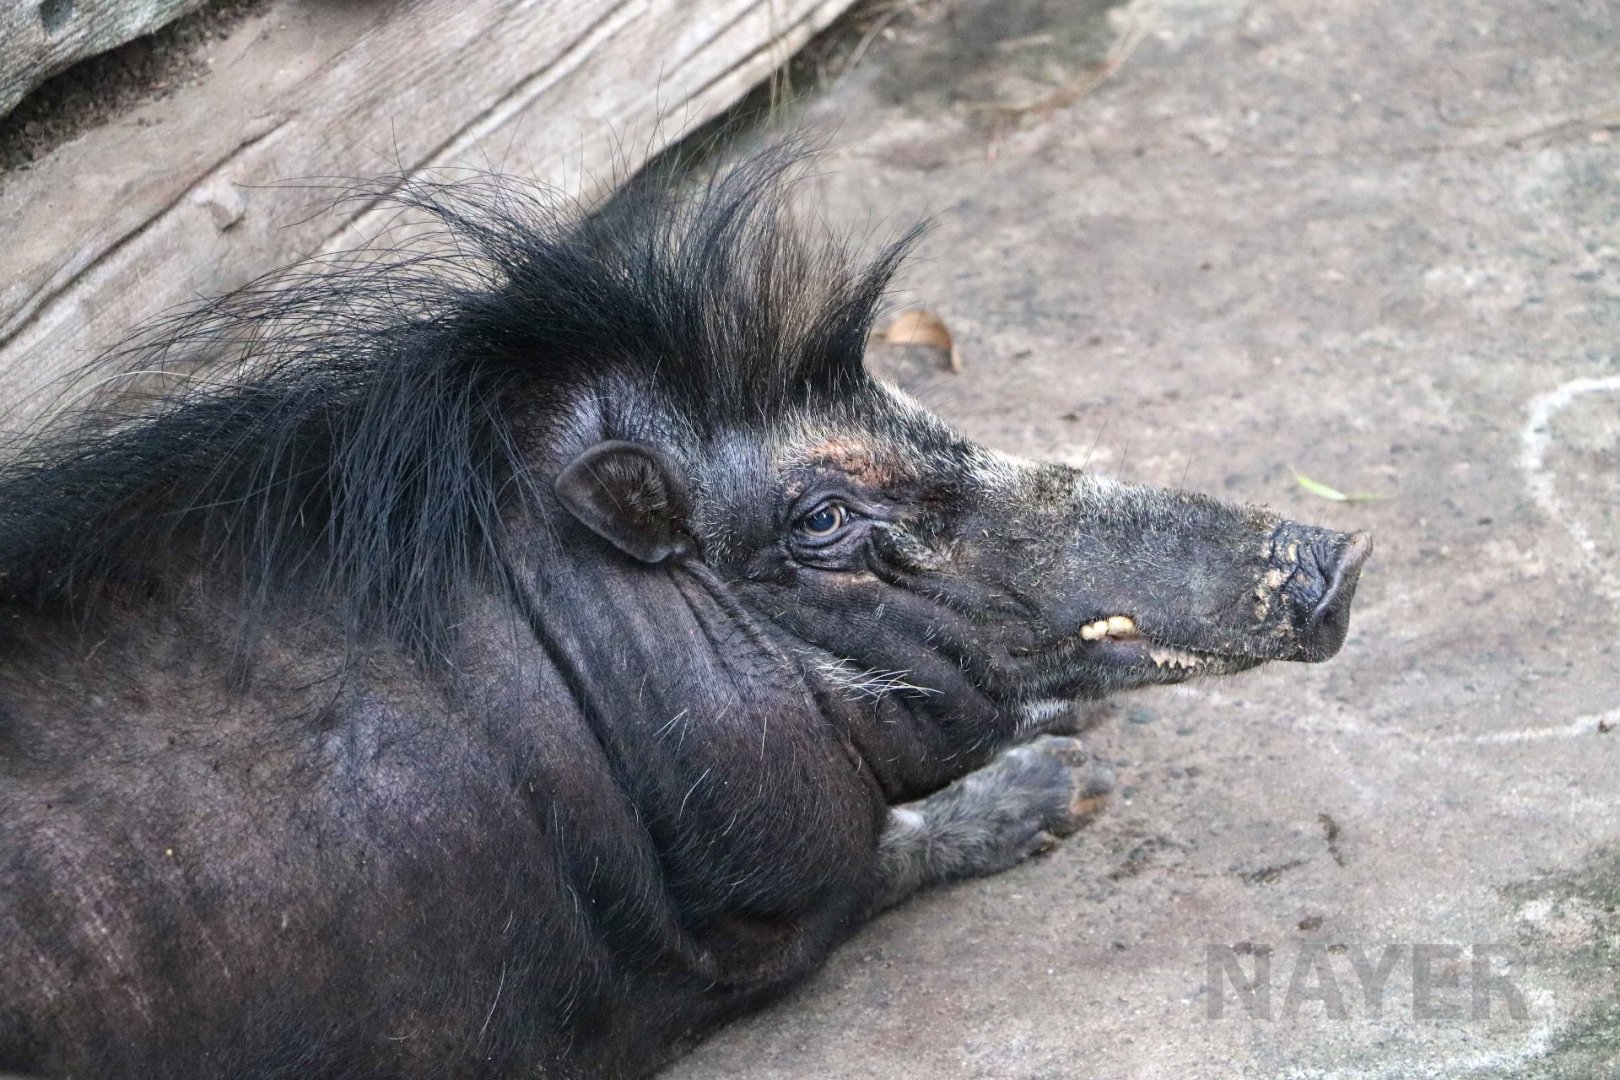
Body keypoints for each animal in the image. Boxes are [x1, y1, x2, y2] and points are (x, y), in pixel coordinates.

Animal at [0, 151, 1369, 1078]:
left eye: (909, 405)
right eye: (820, 520)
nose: (1338, 554)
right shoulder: (736, 928)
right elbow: (879, 858)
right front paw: (1069, 789)